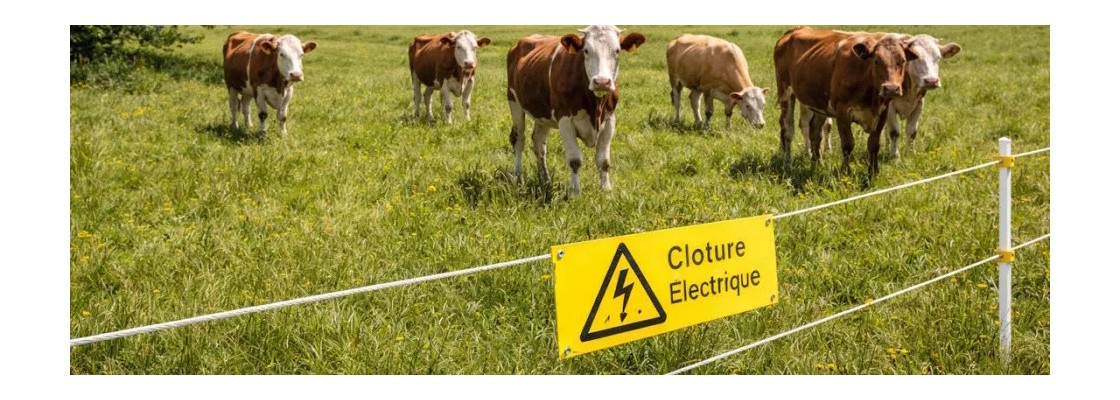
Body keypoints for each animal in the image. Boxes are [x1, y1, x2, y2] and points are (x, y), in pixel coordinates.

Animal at [506, 26, 646, 196]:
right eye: (586, 50)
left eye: (617, 50)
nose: (601, 82)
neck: (595, 106)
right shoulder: (564, 119)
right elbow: (575, 160)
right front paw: (575, 193)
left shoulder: (609, 120)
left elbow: (604, 160)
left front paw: (606, 190)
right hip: (514, 101)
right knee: (519, 139)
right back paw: (518, 176)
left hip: (542, 114)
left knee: (539, 144)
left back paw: (545, 179)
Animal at [774, 26, 919, 177]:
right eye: (876, 60)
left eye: (902, 61)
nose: (891, 88)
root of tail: (795, 29)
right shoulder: (842, 110)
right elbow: (848, 144)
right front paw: (845, 172)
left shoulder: (882, 111)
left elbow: (874, 144)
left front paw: (873, 172)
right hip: (785, 93)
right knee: (788, 129)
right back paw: (787, 163)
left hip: (820, 104)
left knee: (815, 132)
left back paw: (817, 163)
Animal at [799, 33, 961, 158]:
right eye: (915, 58)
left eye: (938, 58)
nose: (931, 81)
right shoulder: (889, 106)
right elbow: (894, 131)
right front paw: (895, 156)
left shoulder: (919, 103)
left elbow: (911, 131)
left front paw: (909, 154)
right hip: (807, 103)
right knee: (806, 125)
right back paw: (809, 152)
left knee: (825, 126)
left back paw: (827, 150)